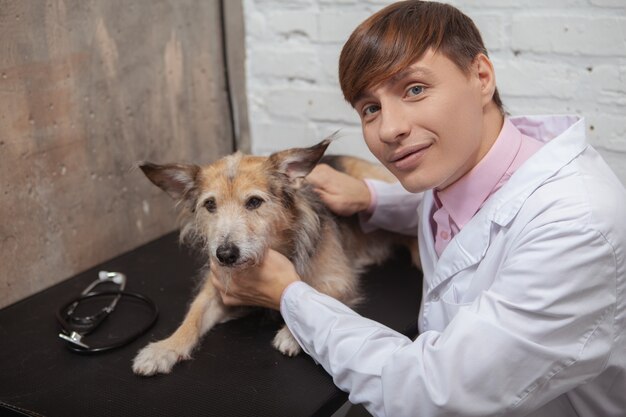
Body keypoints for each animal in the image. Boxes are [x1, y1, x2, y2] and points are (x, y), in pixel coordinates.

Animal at [132, 138, 416, 376]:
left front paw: (292, 334)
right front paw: (166, 348)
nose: (225, 255)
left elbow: (318, 295)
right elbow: (193, 315)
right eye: (210, 204)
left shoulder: (340, 280)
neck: (278, 247)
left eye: (254, 202)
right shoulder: (217, 288)